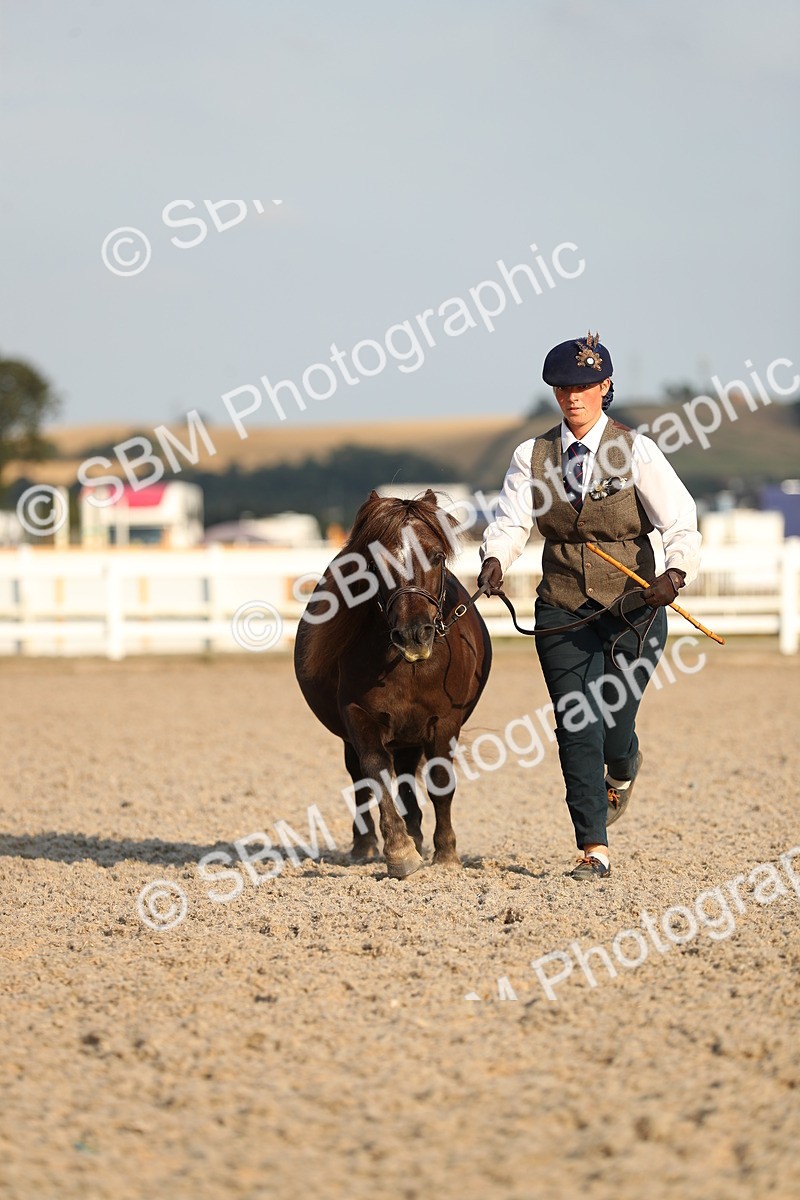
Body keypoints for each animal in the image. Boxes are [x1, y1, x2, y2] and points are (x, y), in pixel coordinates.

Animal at [294, 489, 492, 879]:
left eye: (437, 556)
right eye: (375, 562)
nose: (414, 634)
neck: (407, 666)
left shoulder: (444, 721)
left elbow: (440, 783)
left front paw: (445, 853)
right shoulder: (359, 716)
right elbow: (375, 771)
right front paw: (399, 851)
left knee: (407, 779)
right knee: (361, 778)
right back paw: (366, 844)